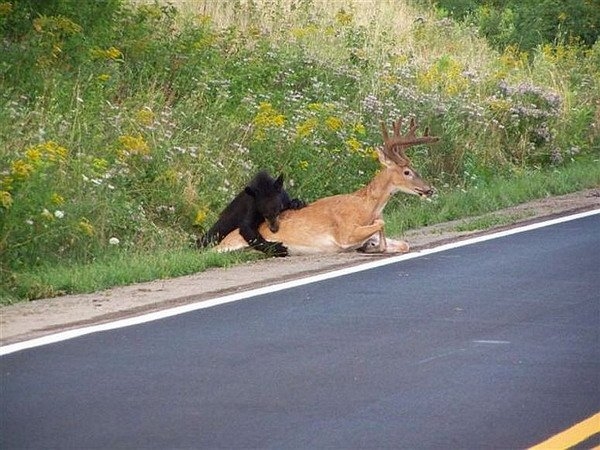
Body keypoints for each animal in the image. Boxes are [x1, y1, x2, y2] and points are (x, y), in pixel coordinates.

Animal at [213, 116, 438, 255]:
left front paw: (372, 246)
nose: (429, 189)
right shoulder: (345, 233)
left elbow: (403, 243)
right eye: (407, 172)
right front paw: (374, 247)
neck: (366, 207)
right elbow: (381, 225)